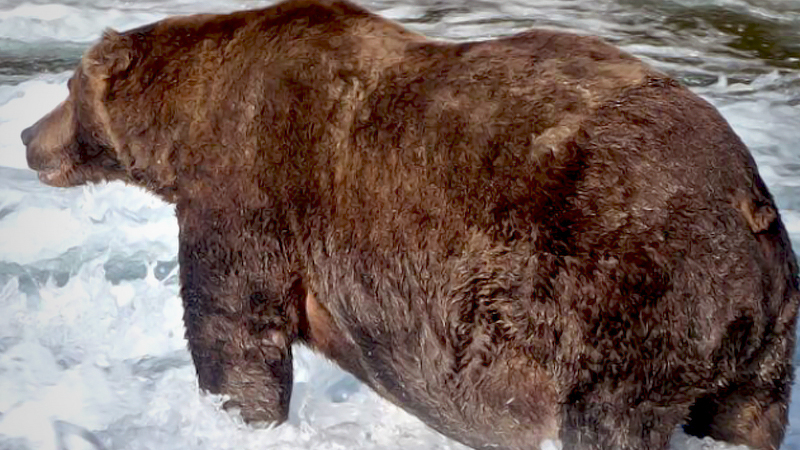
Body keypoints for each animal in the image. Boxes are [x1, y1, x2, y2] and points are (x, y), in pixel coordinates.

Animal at [20, 0, 800, 449]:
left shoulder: (251, 180)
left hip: (630, 297)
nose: (27, 135)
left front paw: (237, 415)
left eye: (68, 88)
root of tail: (751, 202)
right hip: (759, 346)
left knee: (607, 420)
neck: (185, 125)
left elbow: (233, 325)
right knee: (745, 420)